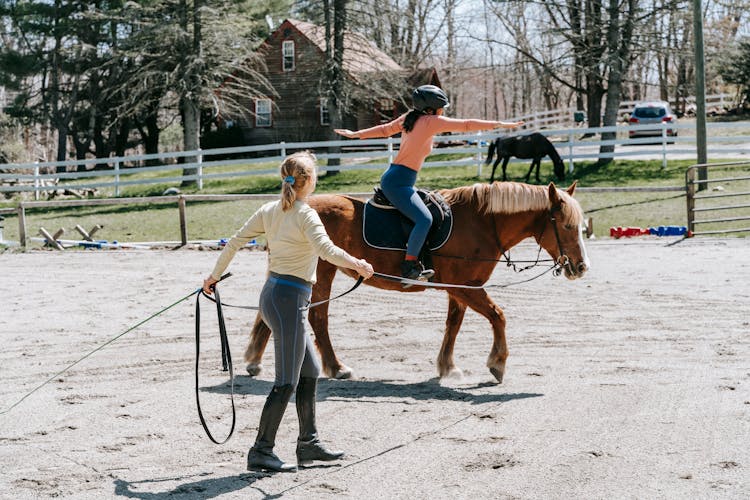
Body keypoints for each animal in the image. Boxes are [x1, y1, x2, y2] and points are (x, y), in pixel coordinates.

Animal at [244, 181, 592, 382]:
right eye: (566, 225)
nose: (580, 266)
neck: (479, 222)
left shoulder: (460, 289)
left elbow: (454, 324)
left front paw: (447, 366)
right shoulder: (467, 287)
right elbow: (498, 316)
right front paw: (498, 363)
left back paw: (256, 361)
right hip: (321, 272)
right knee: (317, 317)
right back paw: (336, 366)